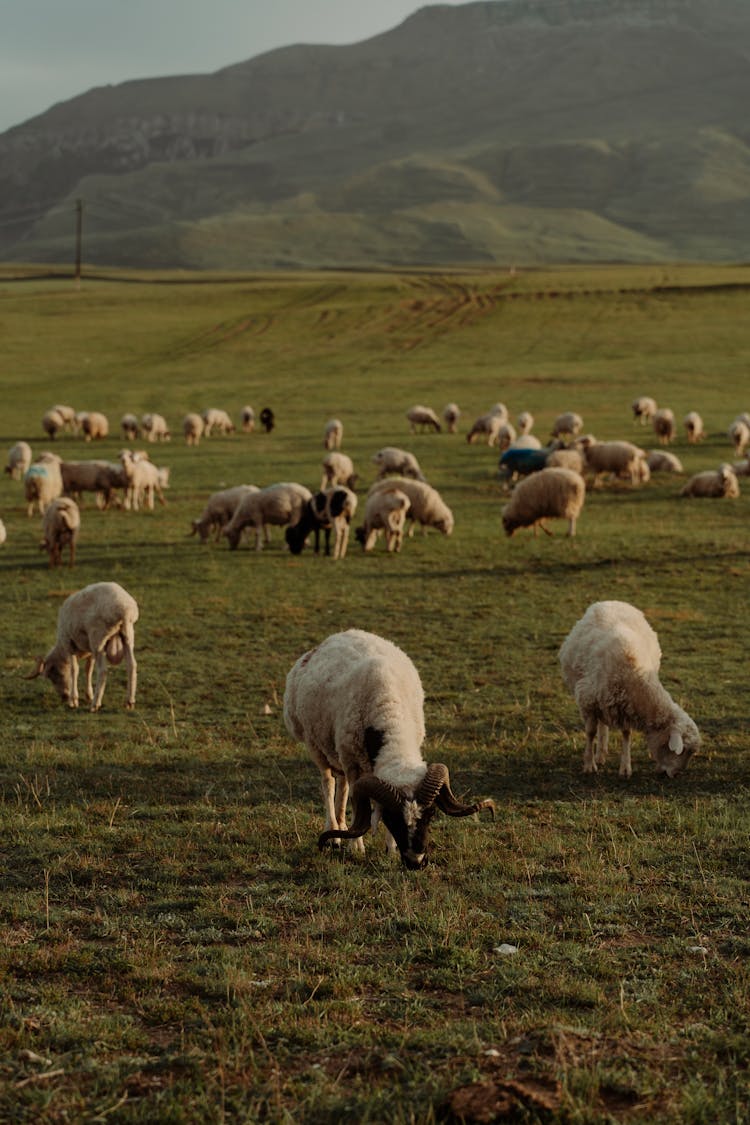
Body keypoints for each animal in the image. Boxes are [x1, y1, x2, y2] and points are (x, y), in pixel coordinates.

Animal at [281, 630, 492, 864]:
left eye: (431, 814)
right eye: (392, 818)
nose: (416, 861)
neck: (388, 712)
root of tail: (339, 635)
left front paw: (390, 849)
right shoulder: (353, 764)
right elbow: (356, 806)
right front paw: (356, 847)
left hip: (339, 751)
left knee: (342, 785)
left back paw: (342, 827)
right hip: (316, 745)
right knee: (329, 784)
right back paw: (334, 833)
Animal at [559, 603, 701, 778]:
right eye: (682, 752)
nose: (676, 775)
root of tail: (612, 601)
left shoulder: (625, 707)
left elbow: (626, 735)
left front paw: (625, 768)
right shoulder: (588, 700)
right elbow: (590, 733)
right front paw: (589, 764)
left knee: (603, 725)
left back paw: (602, 752)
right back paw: (598, 756)